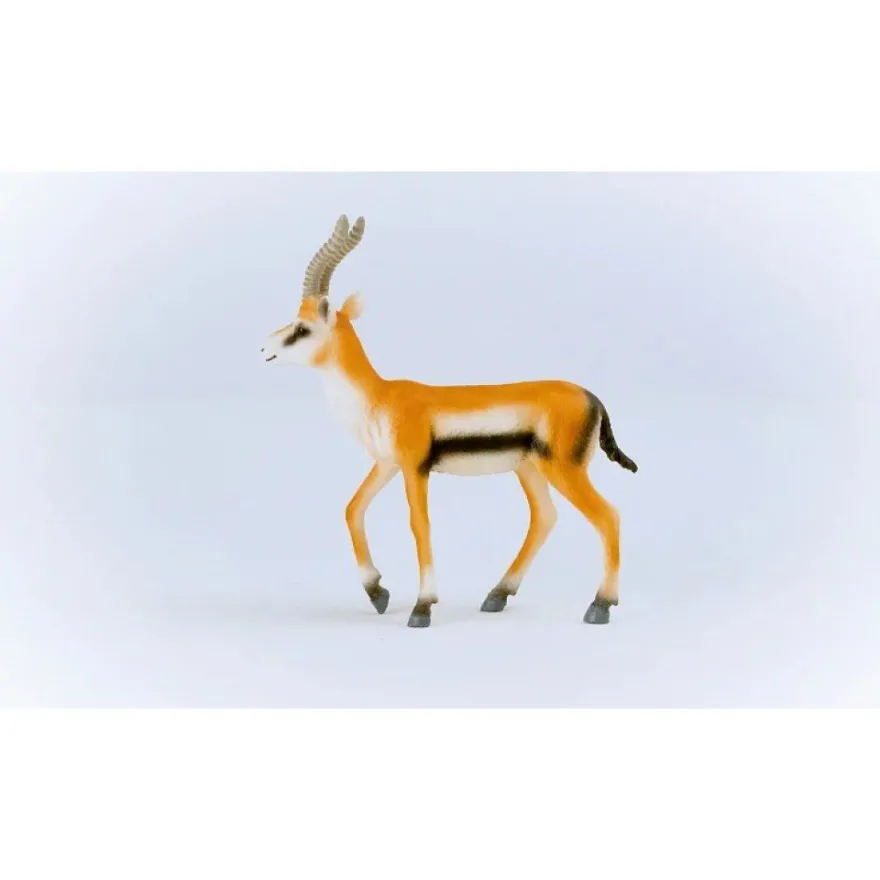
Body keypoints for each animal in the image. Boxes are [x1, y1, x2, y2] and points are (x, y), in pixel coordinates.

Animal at [262, 215, 638, 629]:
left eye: (302, 327)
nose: (264, 349)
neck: (380, 396)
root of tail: (593, 398)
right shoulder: (386, 463)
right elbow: (352, 509)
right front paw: (378, 593)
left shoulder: (414, 468)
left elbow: (420, 525)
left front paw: (422, 607)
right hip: (529, 469)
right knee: (545, 518)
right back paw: (497, 596)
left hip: (564, 470)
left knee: (609, 516)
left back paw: (600, 606)